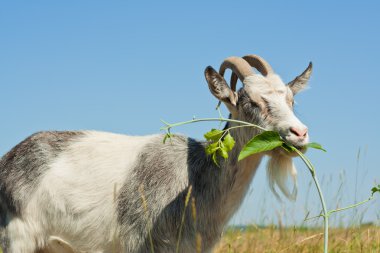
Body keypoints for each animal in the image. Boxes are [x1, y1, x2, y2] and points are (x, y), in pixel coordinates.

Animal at [0, 54, 312, 252]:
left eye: (291, 100)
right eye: (251, 102)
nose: (299, 133)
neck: (195, 177)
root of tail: (7, 160)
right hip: (15, 238)